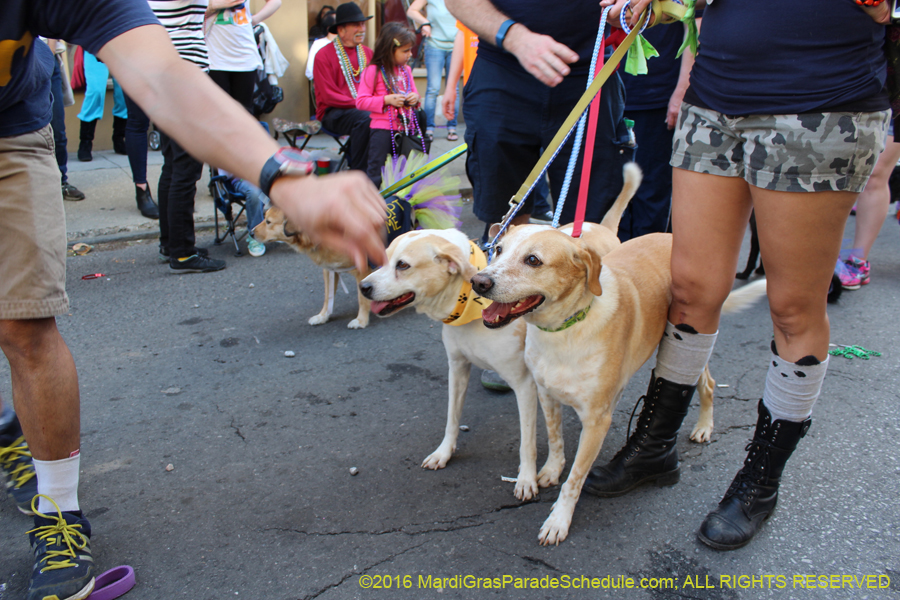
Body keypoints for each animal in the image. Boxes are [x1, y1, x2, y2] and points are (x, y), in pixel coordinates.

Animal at [356, 164, 644, 502]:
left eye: (403, 265)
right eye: (384, 258)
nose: (363, 287)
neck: (467, 310)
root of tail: (600, 226)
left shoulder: (525, 385)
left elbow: (527, 442)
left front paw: (526, 479)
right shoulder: (458, 368)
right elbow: (452, 418)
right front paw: (444, 452)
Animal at [472, 229, 768, 544]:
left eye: (533, 260)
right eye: (498, 249)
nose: (478, 282)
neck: (564, 330)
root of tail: (669, 235)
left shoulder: (595, 423)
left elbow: (574, 479)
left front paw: (559, 520)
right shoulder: (547, 395)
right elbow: (554, 439)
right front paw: (552, 469)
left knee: (709, 385)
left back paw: (704, 427)